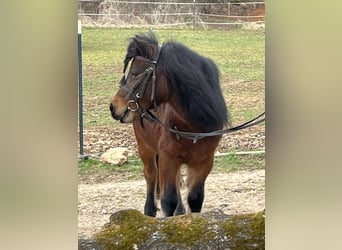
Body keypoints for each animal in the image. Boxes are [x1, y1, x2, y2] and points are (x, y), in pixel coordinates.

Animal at [109, 31, 230, 217]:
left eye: (136, 73)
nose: (113, 106)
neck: (192, 127)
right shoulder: (168, 159)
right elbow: (168, 200)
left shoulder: (204, 162)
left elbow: (195, 198)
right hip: (145, 148)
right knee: (151, 176)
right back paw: (149, 210)